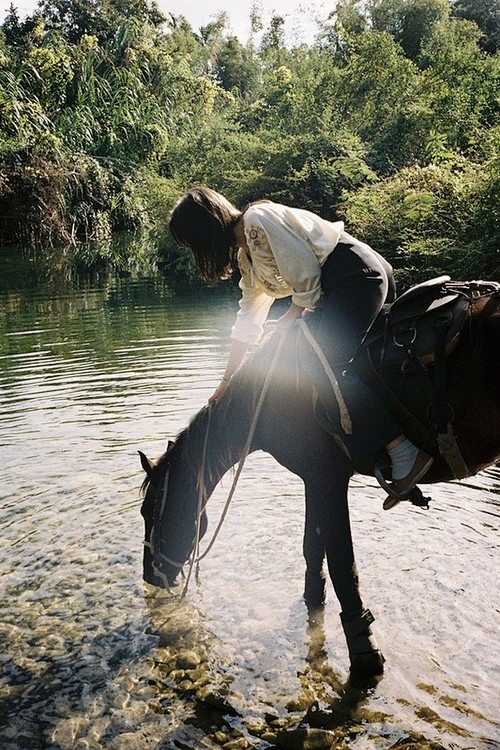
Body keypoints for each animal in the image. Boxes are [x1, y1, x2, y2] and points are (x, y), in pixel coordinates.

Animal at [138, 284, 500, 680]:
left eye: (151, 513)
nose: (151, 576)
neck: (273, 393)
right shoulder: (313, 479)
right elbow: (313, 551)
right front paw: (314, 603)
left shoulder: (329, 480)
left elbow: (344, 566)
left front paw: (365, 652)